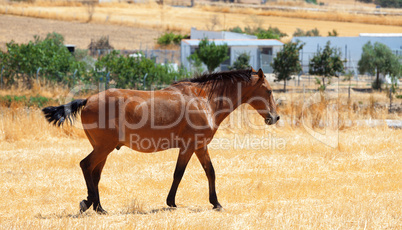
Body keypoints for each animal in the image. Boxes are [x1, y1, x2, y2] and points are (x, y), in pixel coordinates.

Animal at [42, 68, 278, 214]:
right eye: (268, 90)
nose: (274, 117)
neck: (204, 100)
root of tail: (88, 99)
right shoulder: (189, 147)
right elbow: (178, 174)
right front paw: (171, 202)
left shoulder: (200, 147)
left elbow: (210, 172)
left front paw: (216, 203)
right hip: (103, 148)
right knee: (86, 166)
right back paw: (88, 202)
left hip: (103, 150)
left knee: (95, 174)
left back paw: (99, 207)